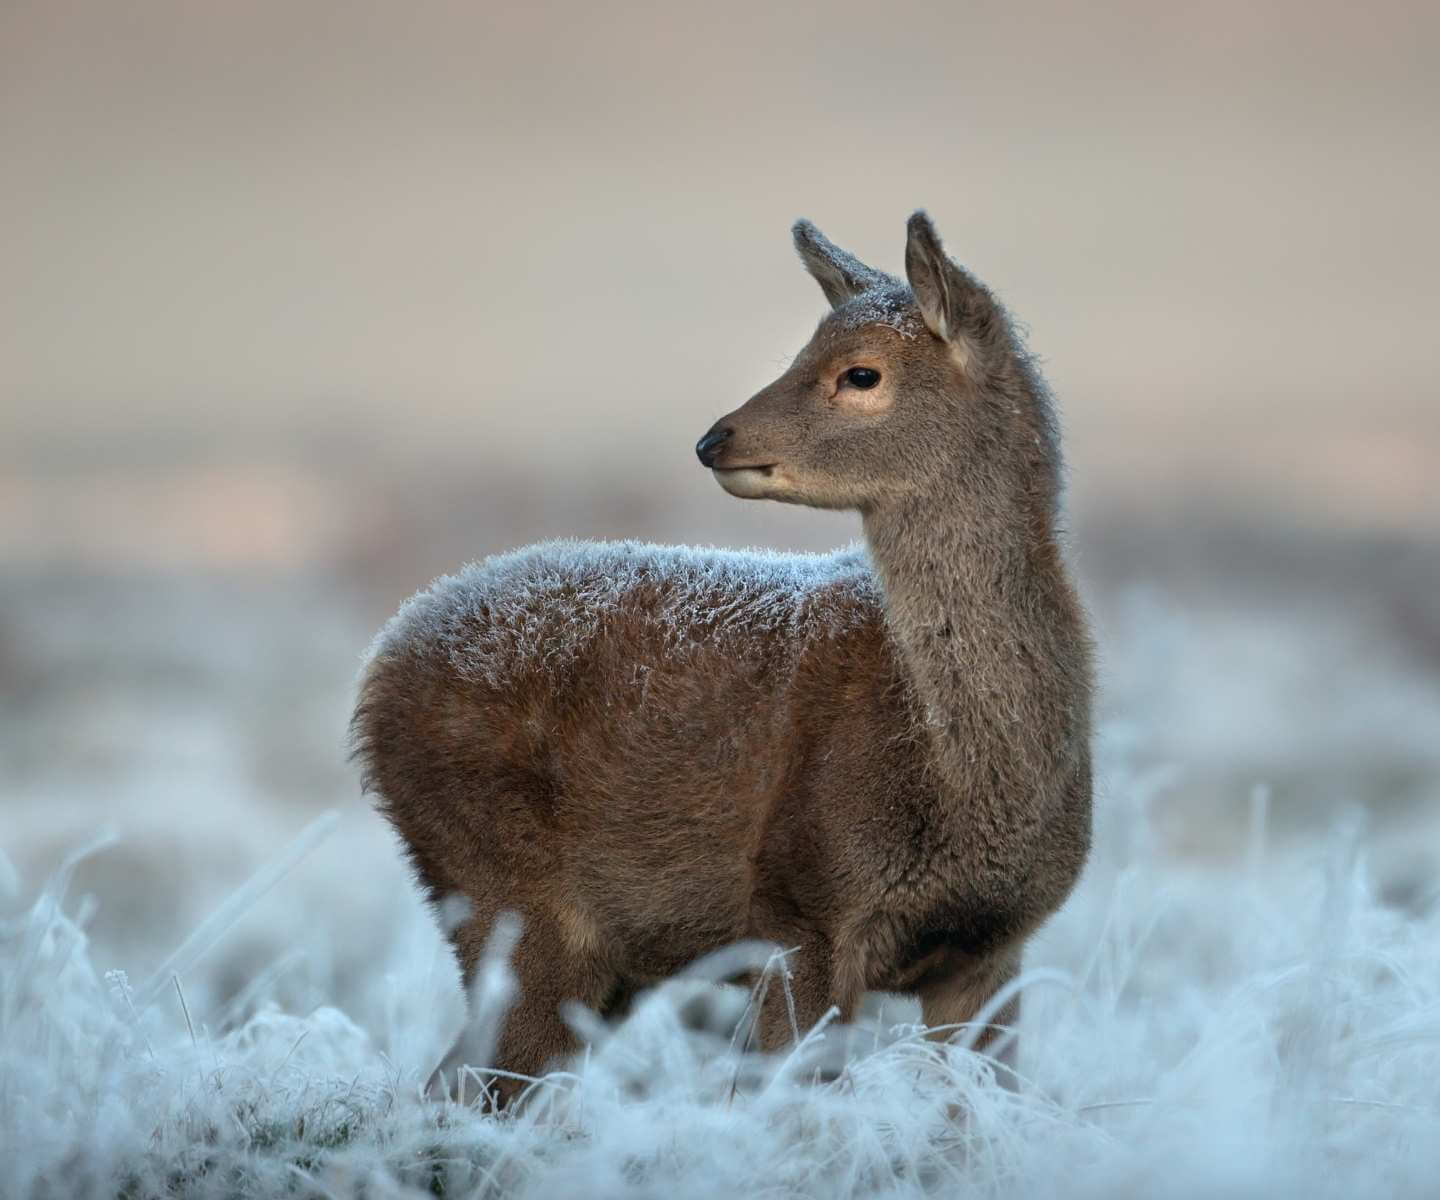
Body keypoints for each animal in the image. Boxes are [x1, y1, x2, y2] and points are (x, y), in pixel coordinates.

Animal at [351, 211, 1094, 1107]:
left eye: (861, 372)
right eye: (803, 350)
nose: (713, 439)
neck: (962, 780)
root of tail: (380, 666)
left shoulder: (996, 948)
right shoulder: (800, 905)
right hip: (506, 893)